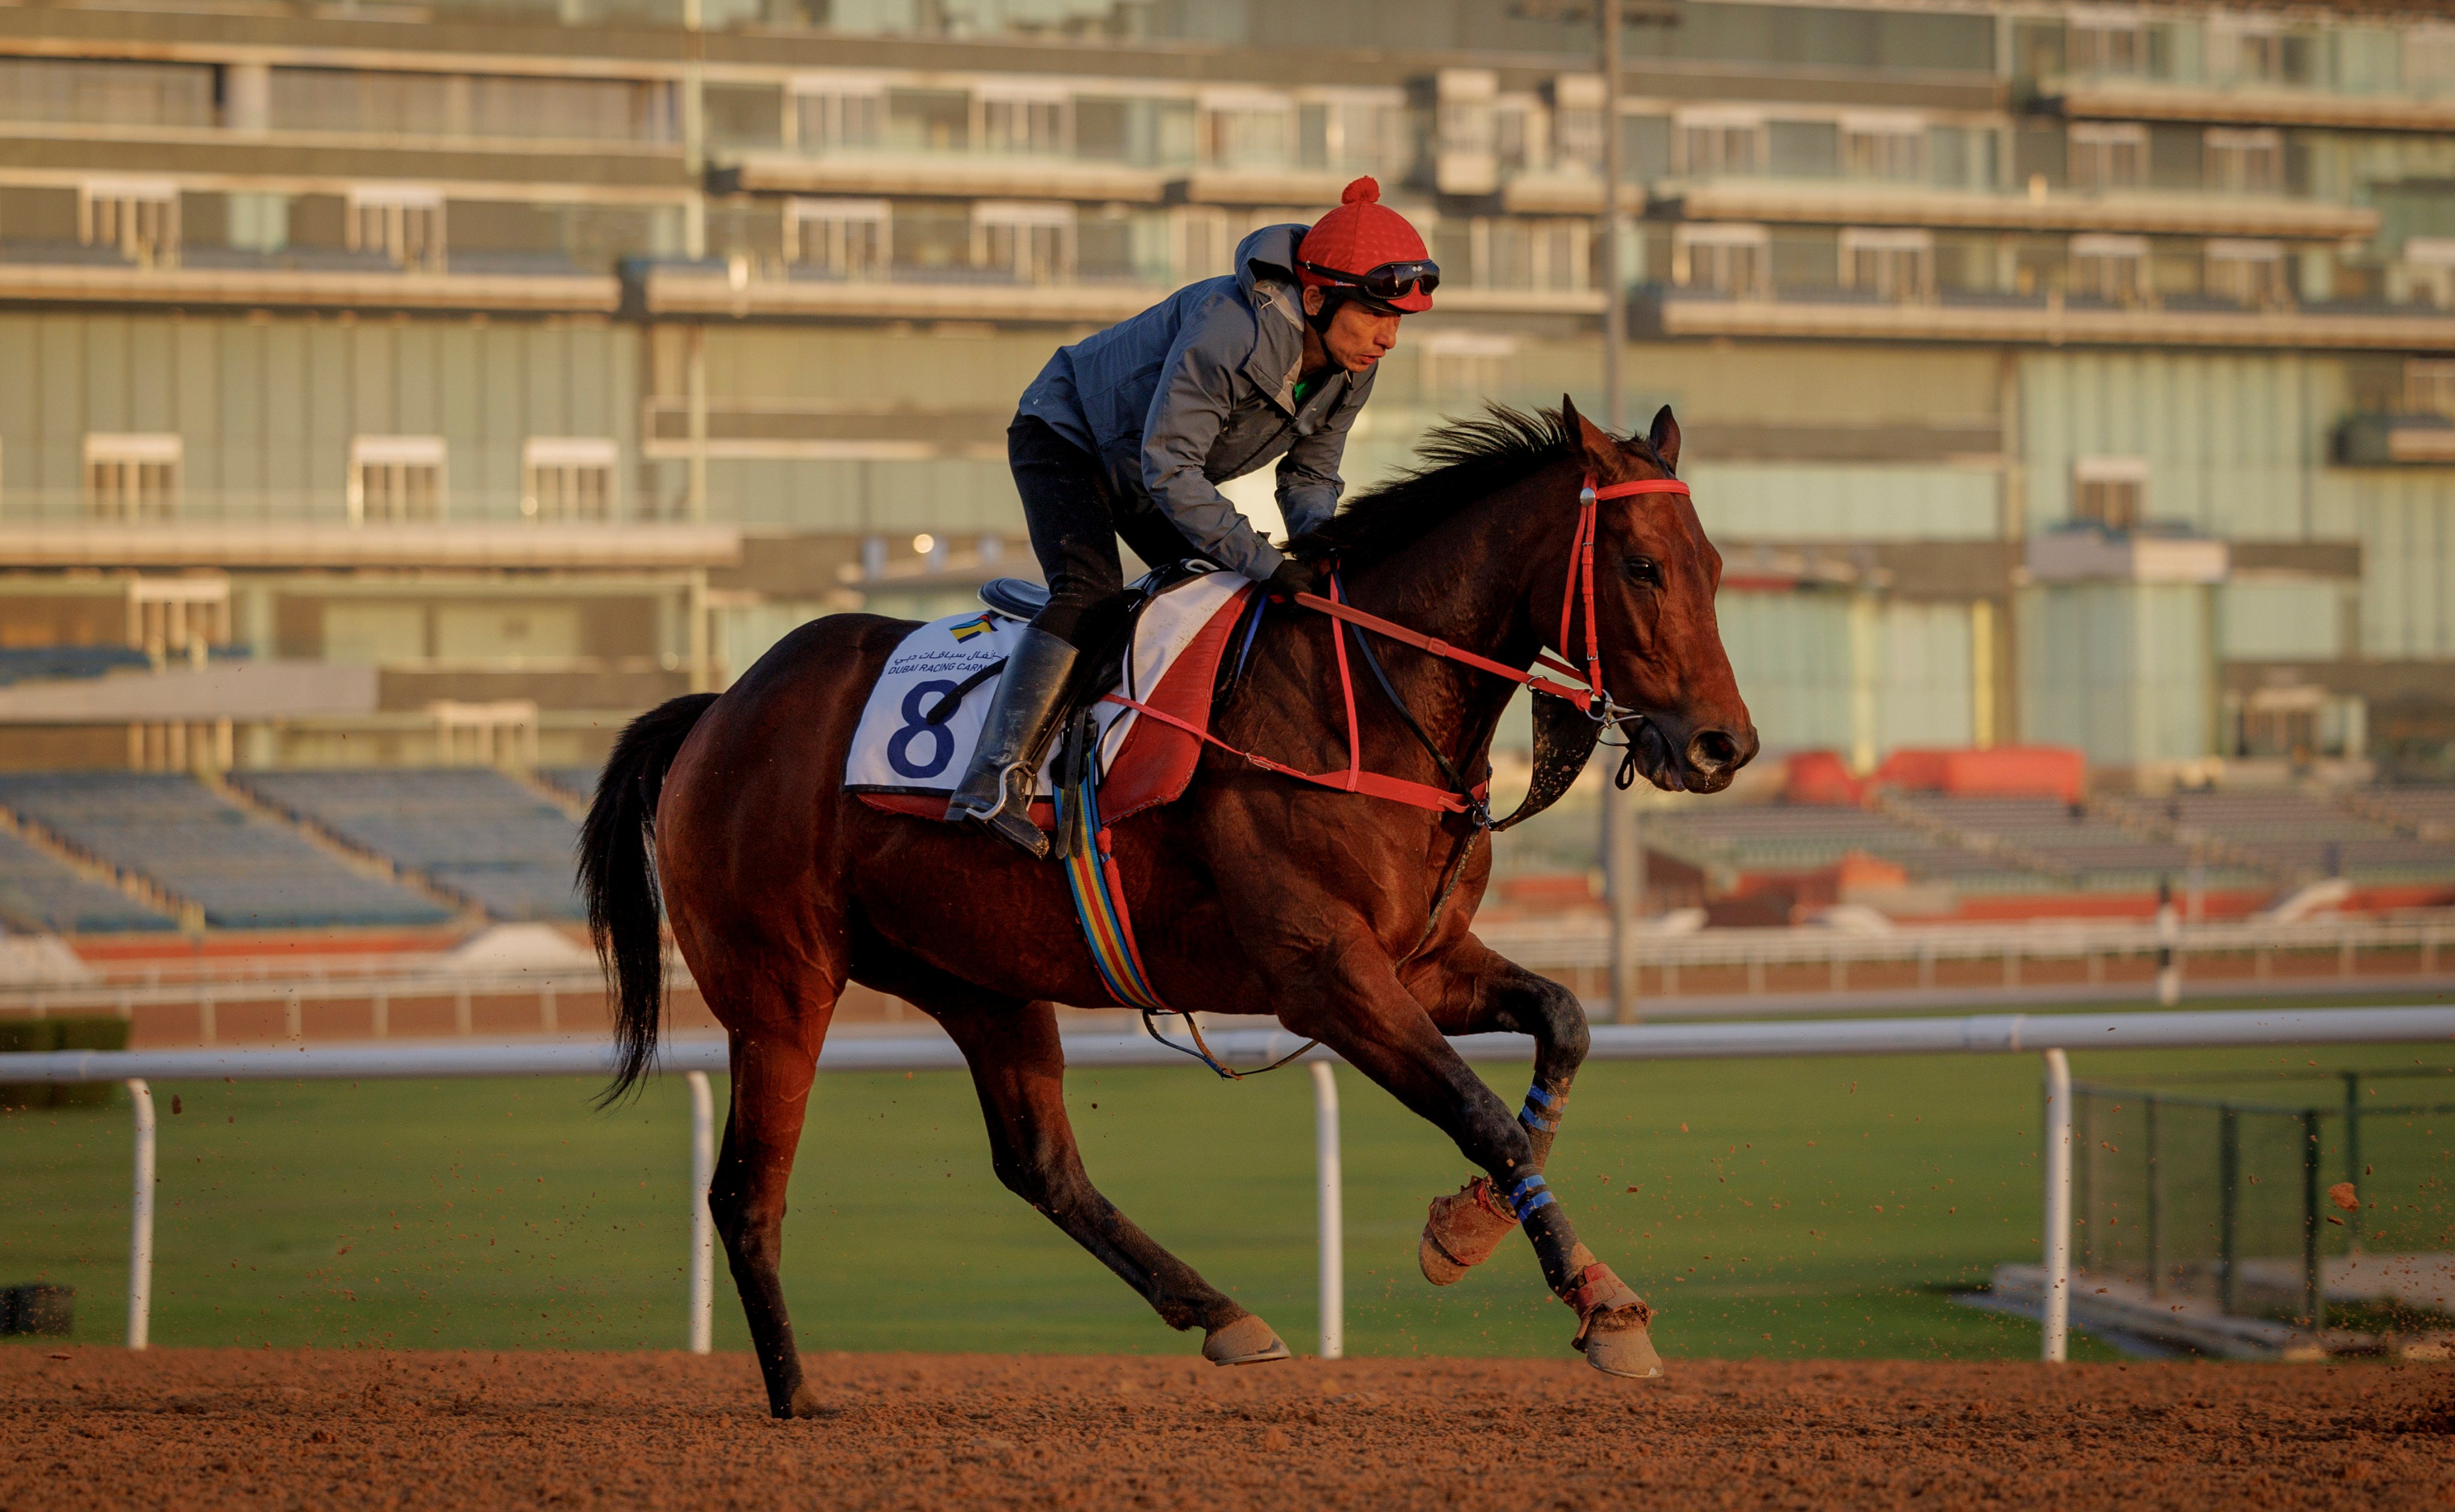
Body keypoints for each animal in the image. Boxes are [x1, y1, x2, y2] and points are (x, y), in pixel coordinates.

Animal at [584, 395, 1757, 1414]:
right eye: (1643, 566)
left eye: (1713, 567)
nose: (1722, 744)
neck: (1359, 702)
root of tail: (720, 708)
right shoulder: (1325, 974)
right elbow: (1478, 1109)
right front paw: (1596, 1302)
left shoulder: (1419, 957)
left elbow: (1562, 1024)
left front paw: (1471, 1232)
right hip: (781, 987)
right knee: (747, 1191)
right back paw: (798, 1393)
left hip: (980, 979)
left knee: (1040, 1165)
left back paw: (1223, 1312)